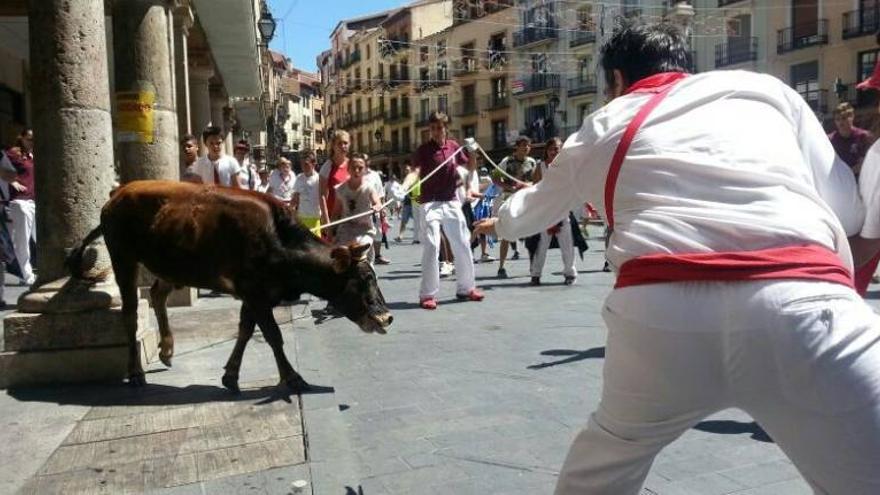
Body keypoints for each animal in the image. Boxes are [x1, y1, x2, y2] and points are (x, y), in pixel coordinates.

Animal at [69, 180, 396, 394]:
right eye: (364, 279)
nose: (386, 317)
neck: (278, 240)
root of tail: (116, 195)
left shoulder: (255, 295)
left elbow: (245, 331)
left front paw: (231, 375)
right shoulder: (256, 293)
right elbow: (273, 336)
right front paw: (292, 378)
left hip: (173, 267)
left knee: (158, 294)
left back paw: (167, 350)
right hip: (123, 258)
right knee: (130, 312)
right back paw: (136, 372)